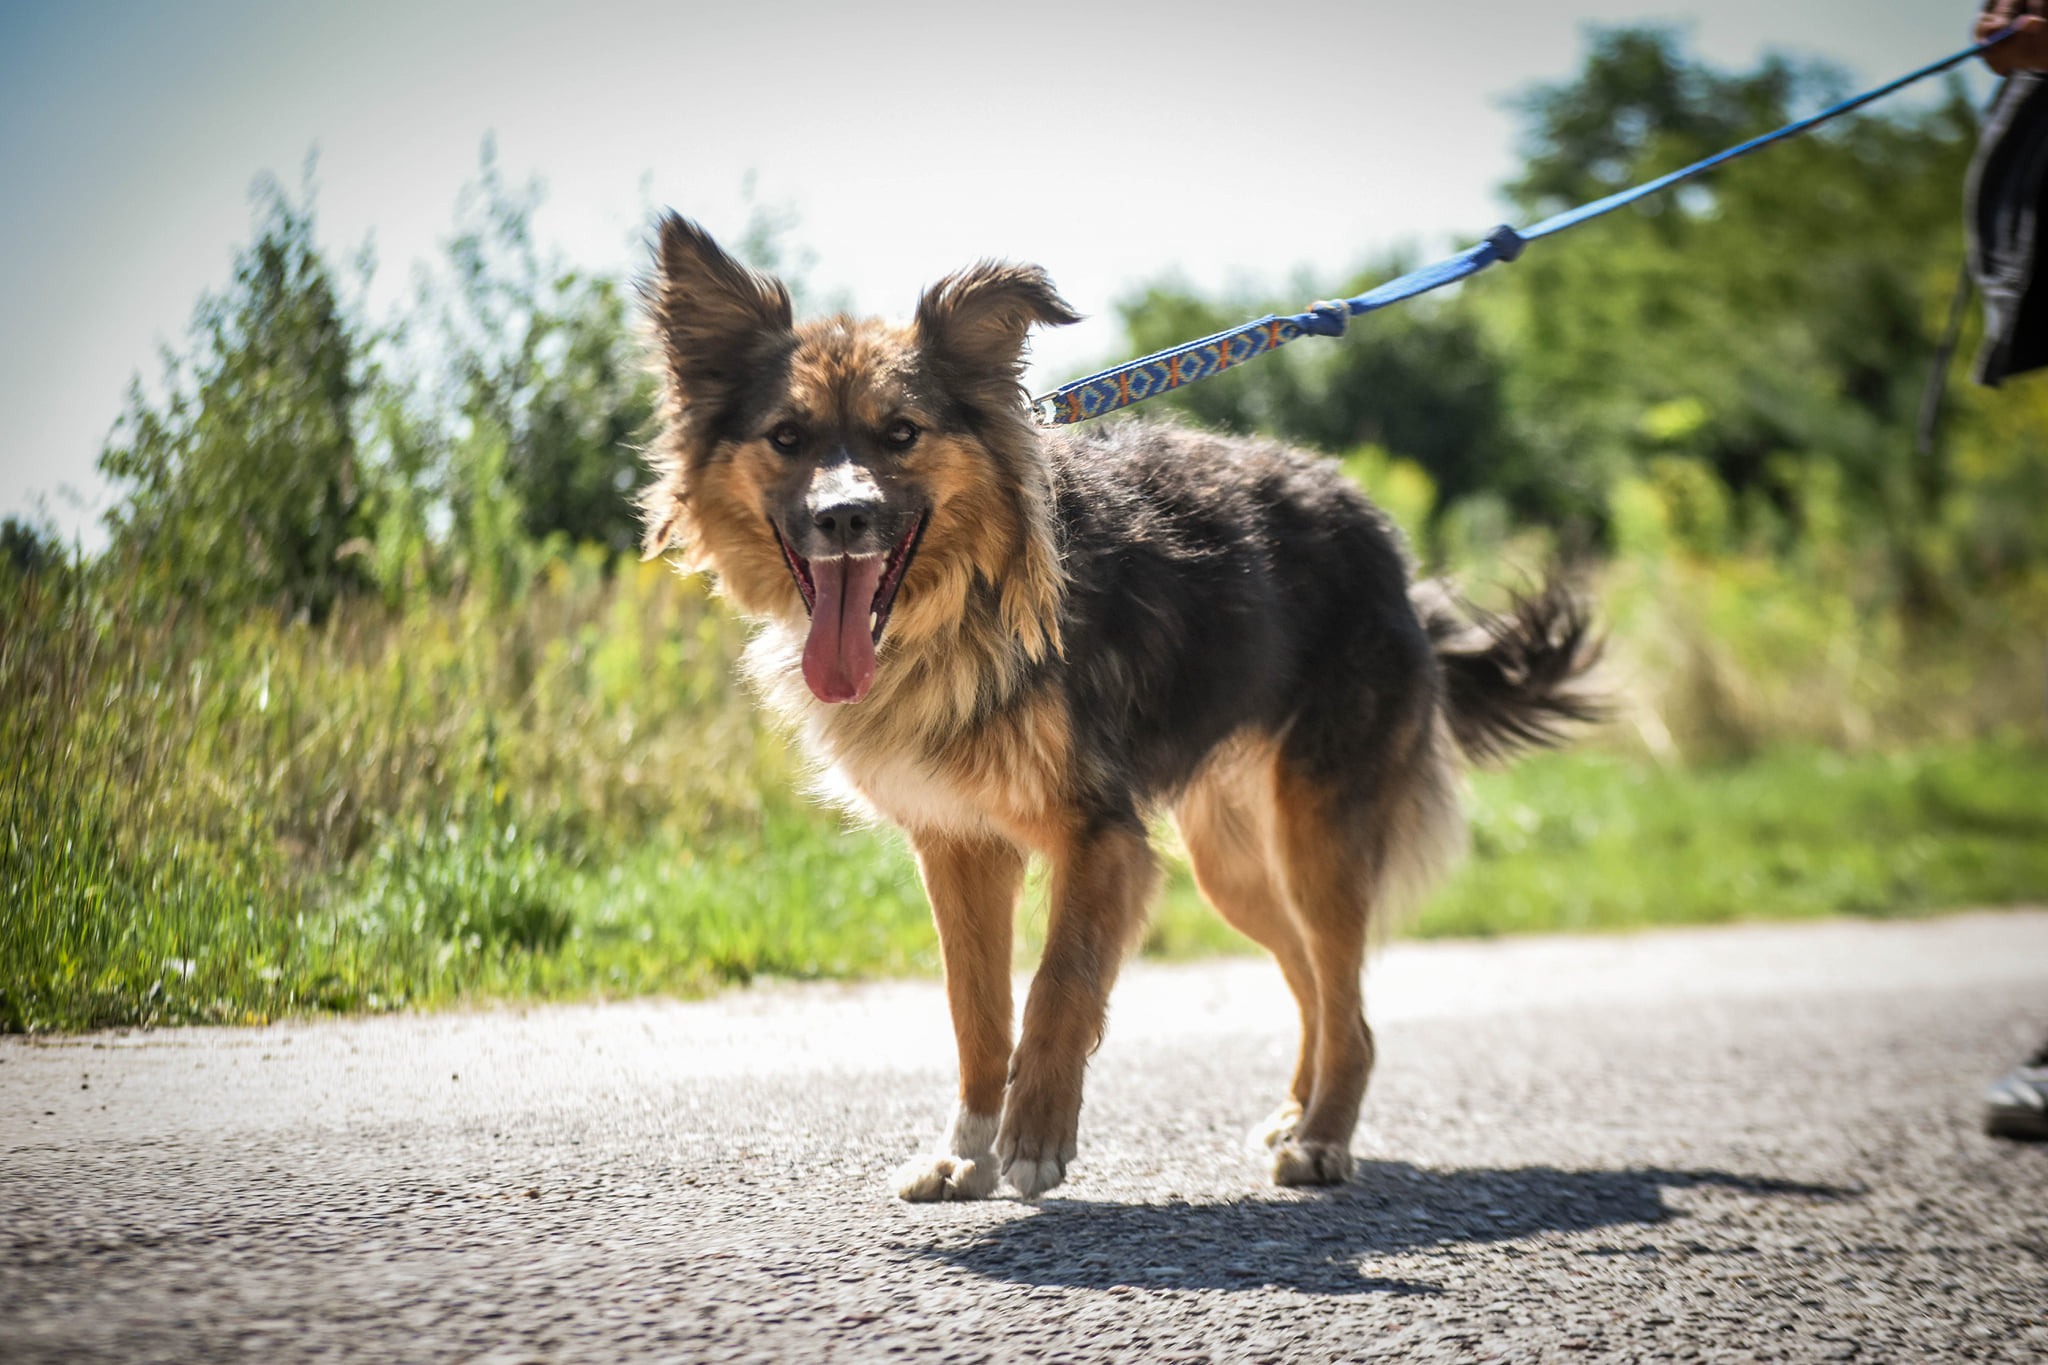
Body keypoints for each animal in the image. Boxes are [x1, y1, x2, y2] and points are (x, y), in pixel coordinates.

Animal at [640, 215, 1599, 1200]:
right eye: (788, 436)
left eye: (900, 432)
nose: (843, 518)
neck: (958, 609)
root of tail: (1391, 551)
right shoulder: (959, 846)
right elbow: (974, 1009)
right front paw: (966, 1148)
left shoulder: (1102, 836)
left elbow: (1058, 980)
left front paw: (1033, 1136)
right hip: (1231, 861)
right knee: (1311, 978)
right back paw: (1298, 1110)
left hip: (1319, 835)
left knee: (1351, 1005)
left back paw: (1324, 1137)